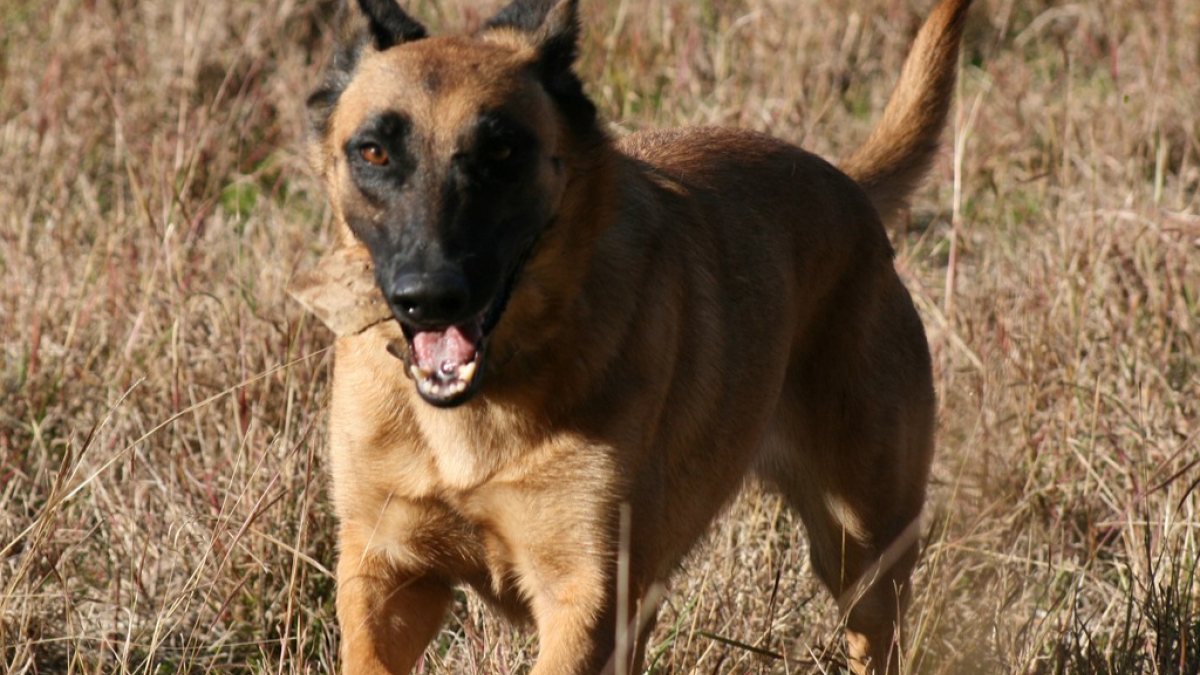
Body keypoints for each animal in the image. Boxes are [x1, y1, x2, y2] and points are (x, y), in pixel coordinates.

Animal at [292, 2, 974, 667]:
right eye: (374, 152)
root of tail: (849, 186)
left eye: (502, 153)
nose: (430, 296)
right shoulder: (387, 575)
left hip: (864, 560)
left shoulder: (588, 599)